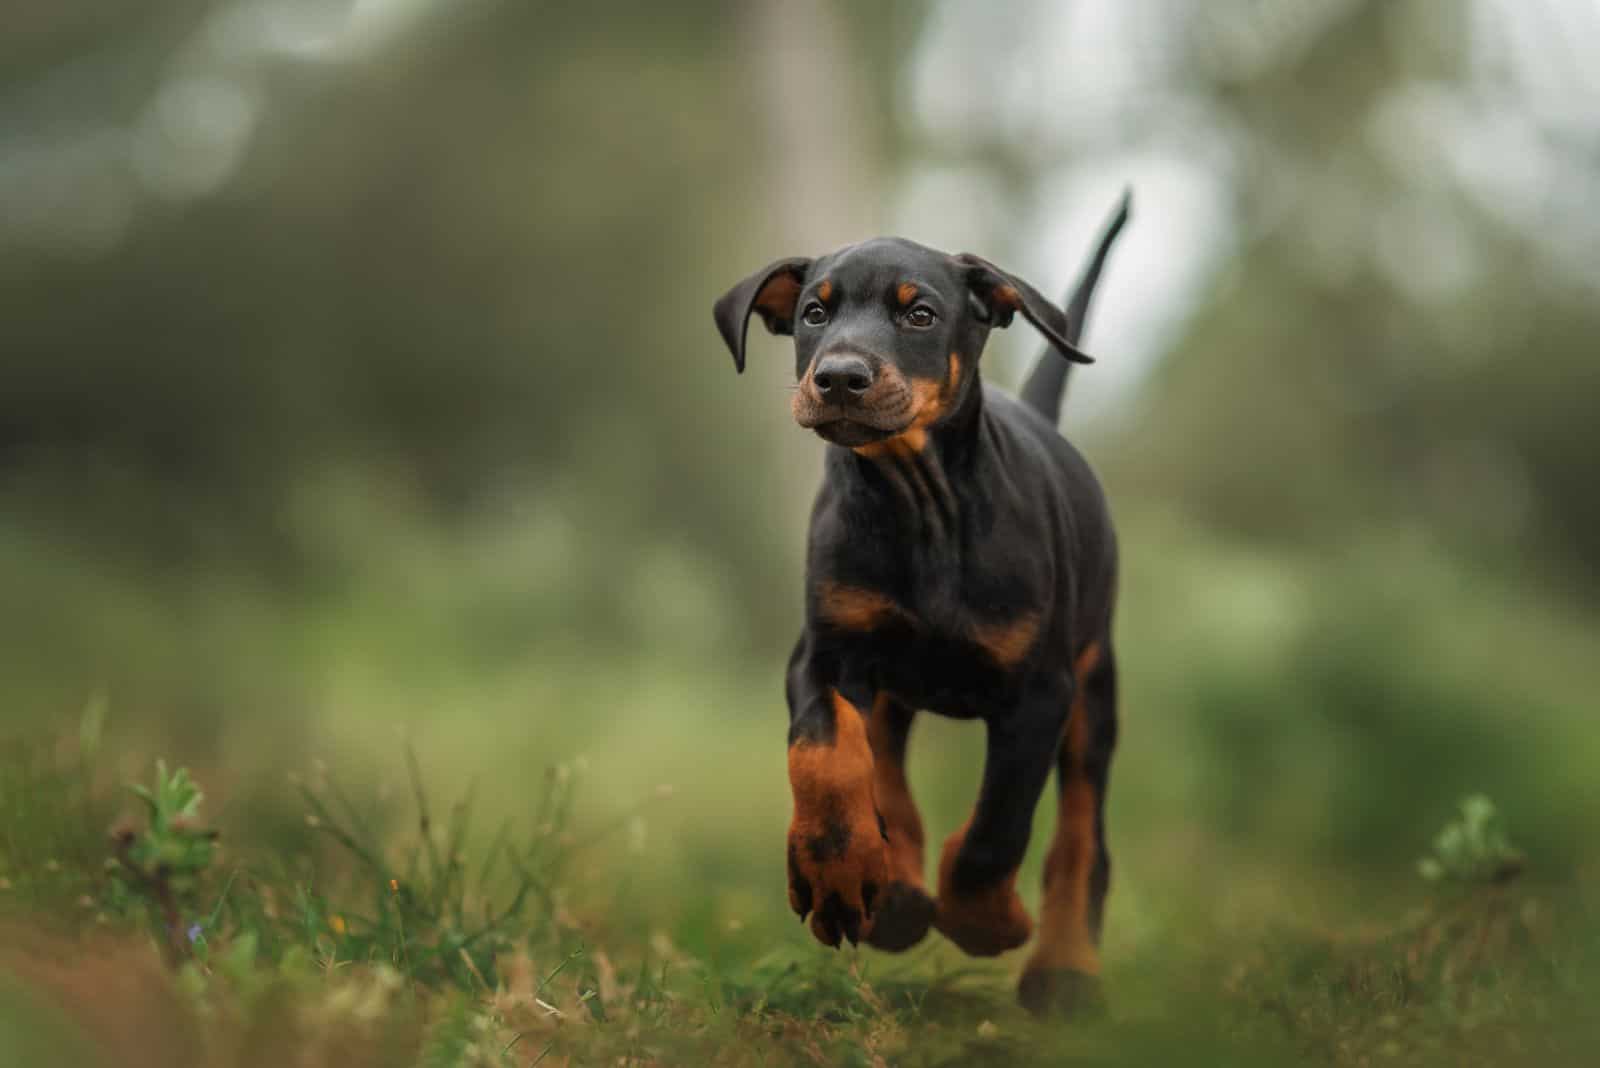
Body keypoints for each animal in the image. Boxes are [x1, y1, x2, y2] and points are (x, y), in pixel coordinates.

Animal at [707, 194, 1132, 1016]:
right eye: (814, 313)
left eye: (921, 315)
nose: (840, 378)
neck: (919, 502)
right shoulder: (824, 652)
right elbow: (824, 753)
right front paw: (837, 875)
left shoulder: (1041, 691)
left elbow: (998, 825)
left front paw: (985, 922)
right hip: (892, 682)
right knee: (885, 767)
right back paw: (896, 893)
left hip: (1095, 688)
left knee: (1081, 833)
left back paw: (1063, 969)